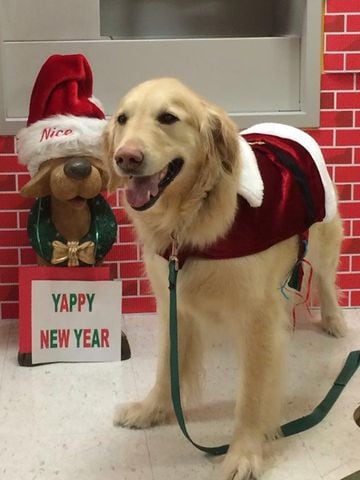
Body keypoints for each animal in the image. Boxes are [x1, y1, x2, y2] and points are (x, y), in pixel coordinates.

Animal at [103, 77, 346, 478]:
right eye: (122, 118)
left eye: (168, 117)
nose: (126, 158)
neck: (189, 218)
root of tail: (291, 129)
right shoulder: (173, 304)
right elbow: (166, 368)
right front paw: (151, 410)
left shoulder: (257, 317)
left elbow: (251, 396)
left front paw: (243, 454)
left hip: (325, 235)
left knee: (327, 279)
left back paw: (335, 320)